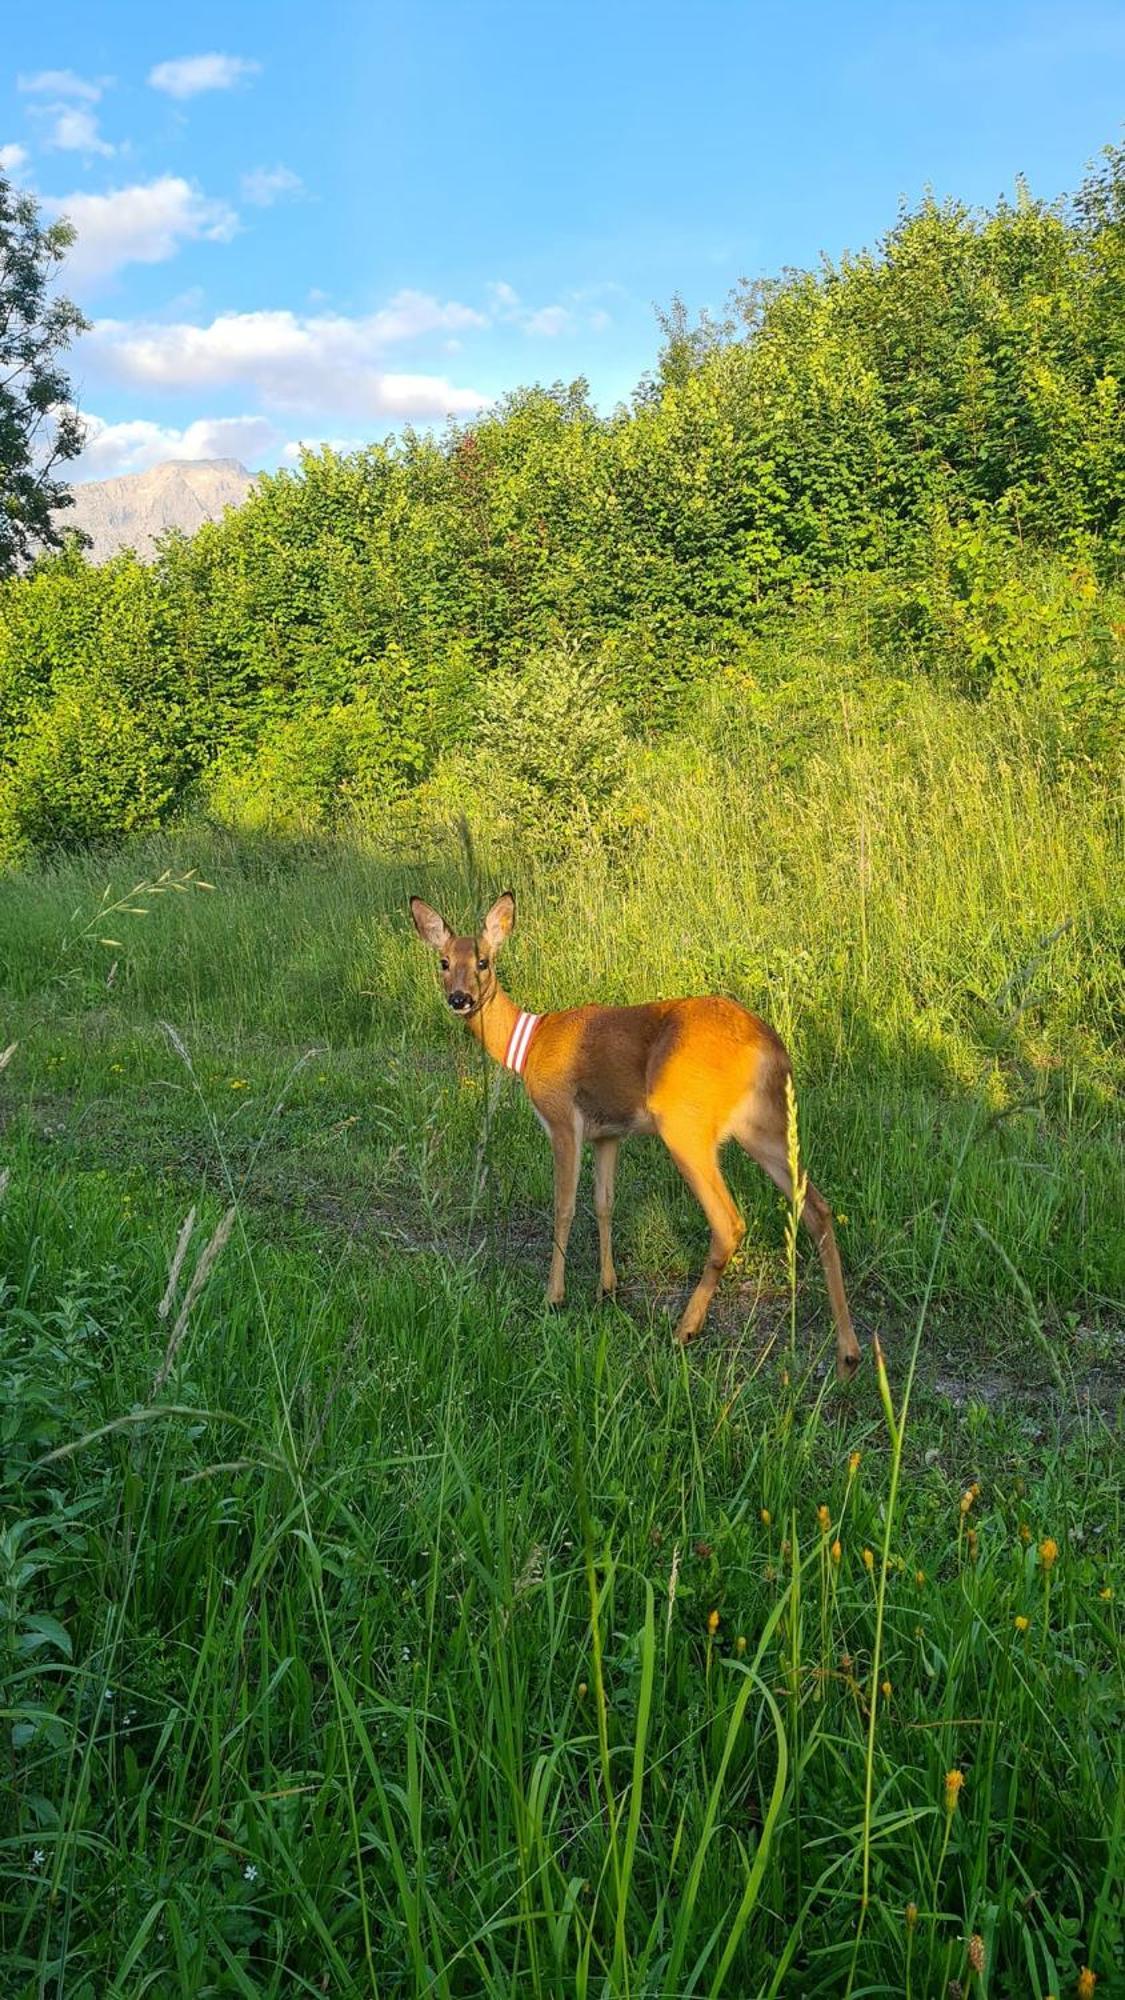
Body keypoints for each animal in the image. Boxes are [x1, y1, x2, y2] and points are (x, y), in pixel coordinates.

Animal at [412, 892, 856, 1376]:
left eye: (484, 961)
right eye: (442, 961)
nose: (460, 998)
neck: (529, 1044)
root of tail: (770, 1047)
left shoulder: (563, 1121)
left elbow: (564, 1206)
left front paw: (554, 1296)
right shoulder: (608, 1134)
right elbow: (604, 1203)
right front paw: (607, 1287)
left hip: (685, 1124)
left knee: (729, 1221)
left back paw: (685, 1330)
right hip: (767, 1127)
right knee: (818, 1210)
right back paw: (848, 1352)